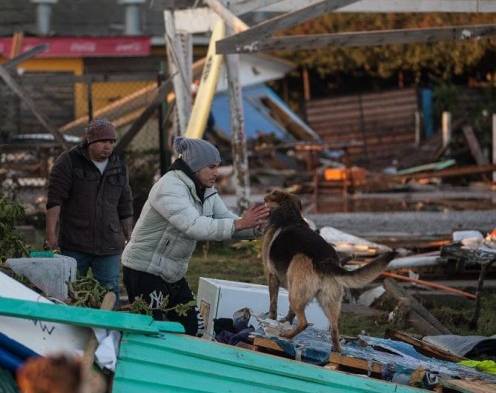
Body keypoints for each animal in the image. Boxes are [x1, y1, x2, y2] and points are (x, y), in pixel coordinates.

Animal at [260, 188, 396, 350]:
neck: (290, 214)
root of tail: (326, 261)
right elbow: (289, 313)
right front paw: (286, 321)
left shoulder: (272, 276)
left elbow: (273, 305)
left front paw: (273, 320)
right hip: (329, 302)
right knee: (334, 329)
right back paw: (335, 351)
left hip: (296, 294)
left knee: (304, 322)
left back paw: (287, 336)